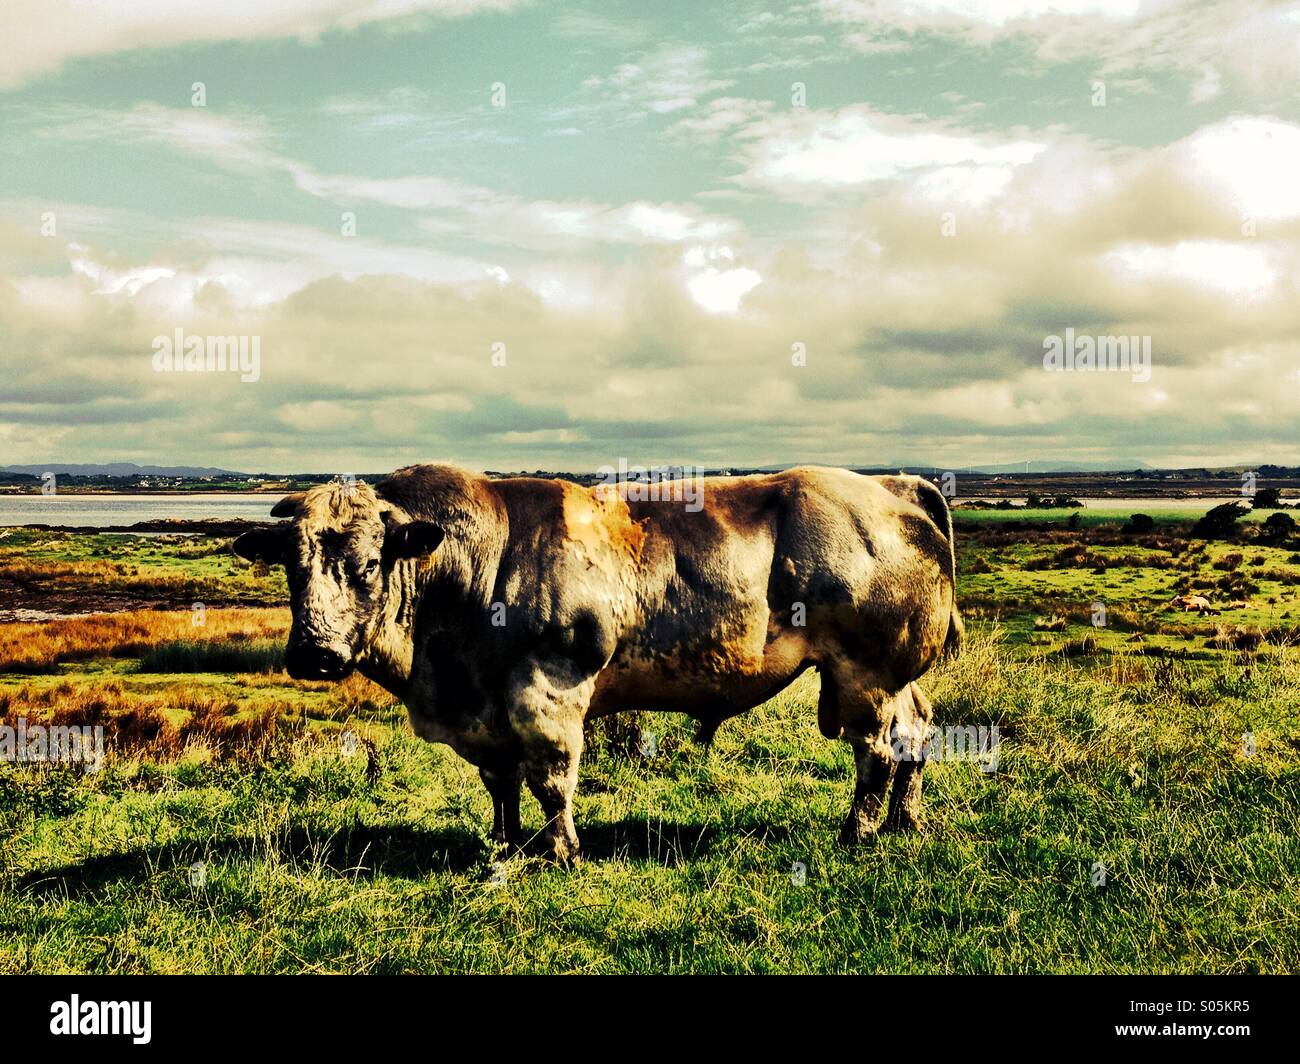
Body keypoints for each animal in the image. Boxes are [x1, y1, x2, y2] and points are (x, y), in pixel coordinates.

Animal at [233, 464, 961, 864]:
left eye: (367, 564)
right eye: (290, 567)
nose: (315, 653)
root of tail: (892, 486)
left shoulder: (549, 690)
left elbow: (551, 780)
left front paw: (561, 851)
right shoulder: (487, 712)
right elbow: (501, 784)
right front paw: (504, 843)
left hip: (866, 674)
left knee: (877, 751)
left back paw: (859, 831)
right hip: (896, 679)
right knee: (916, 733)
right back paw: (905, 820)